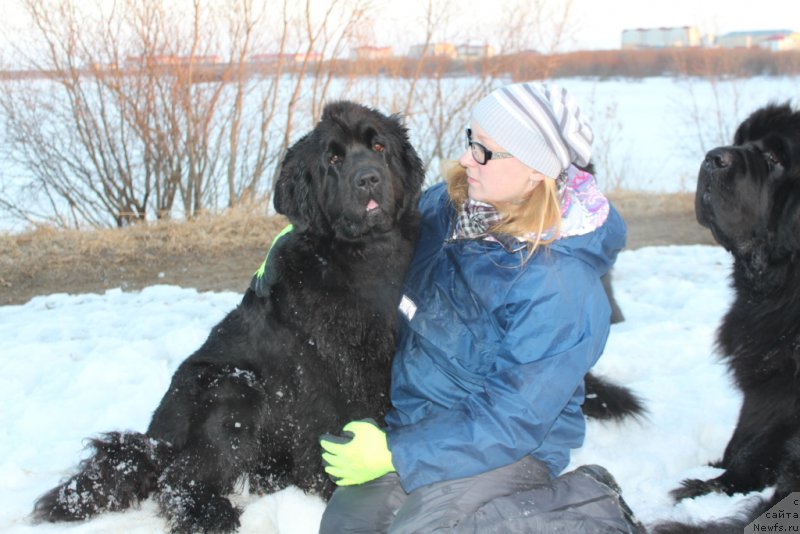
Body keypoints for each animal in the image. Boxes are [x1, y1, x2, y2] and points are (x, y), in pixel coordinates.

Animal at [32, 101, 424, 534]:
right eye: (333, 160)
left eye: (379, 147)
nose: (368, 178)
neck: (366, 259)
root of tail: (157, 439)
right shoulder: (322, 368)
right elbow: (331, 425)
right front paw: (339, 482)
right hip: (234, 390)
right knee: (177, 478)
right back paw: (209, 513)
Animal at [656, 103, 800, 532]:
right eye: (742, 142)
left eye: (773, 158)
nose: (713, 157)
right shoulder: (765, 378)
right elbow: (746, 438)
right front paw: (712, 477)